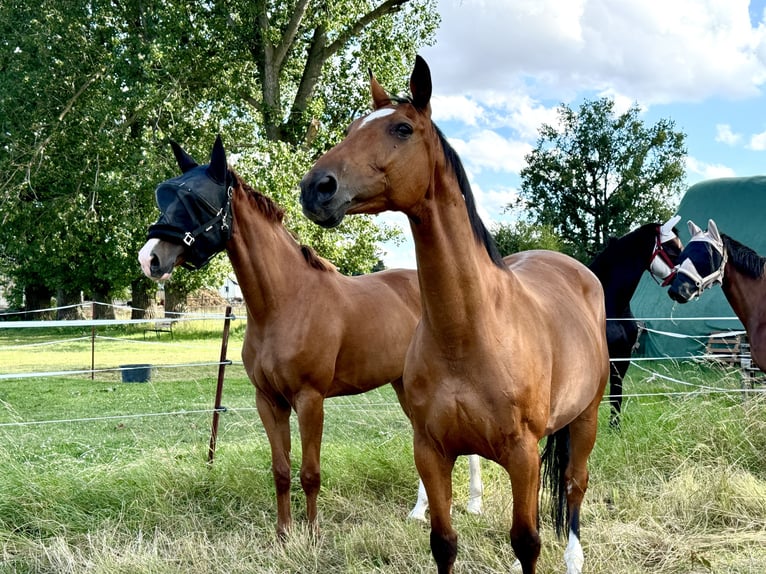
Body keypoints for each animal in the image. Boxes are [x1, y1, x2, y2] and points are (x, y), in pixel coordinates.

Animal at [137, 138, 484, 540]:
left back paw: (471, 505)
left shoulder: (310, 399)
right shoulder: (269, 401)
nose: (149, 259)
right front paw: (284, 533)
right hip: (403, 385)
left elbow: (310, 472)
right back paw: (422, 510)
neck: (285, 301)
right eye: (165, 194)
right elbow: (281, 471)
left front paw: (314, 533)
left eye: (194, 199)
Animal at [300, 55, 612, 574]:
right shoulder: (431, 452)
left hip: (585, 419)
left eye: (402, 129)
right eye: (349, 129)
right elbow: (443, 541)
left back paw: (574, 558)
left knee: (573, 485)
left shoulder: (523, 455)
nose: (316, 188)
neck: (468, 333)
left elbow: (527, 541)